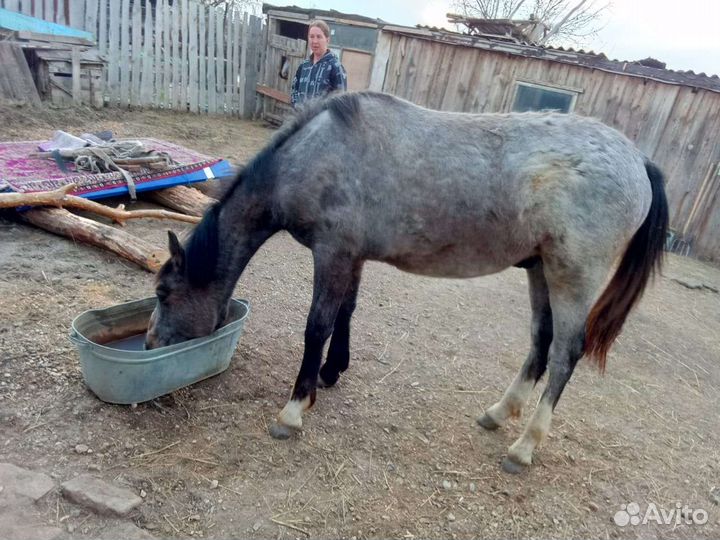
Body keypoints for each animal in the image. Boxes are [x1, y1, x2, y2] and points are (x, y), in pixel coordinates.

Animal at [146, 91, 669, 473]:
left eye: (163, 293)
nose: (150, 343)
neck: (315, 152)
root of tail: (639, 159)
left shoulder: (333, 252)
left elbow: (317, 326)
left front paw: (294, 408)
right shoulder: (351, 256)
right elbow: (346, 312)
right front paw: (331, 373)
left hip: (571, 275)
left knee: (564, 353)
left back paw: (524, 447)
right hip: (540, 269)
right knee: (540, 343)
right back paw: (499, 413)